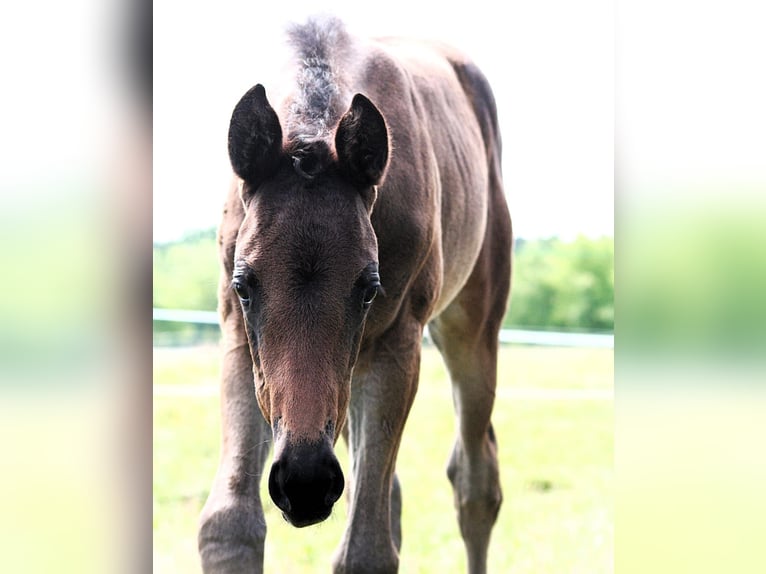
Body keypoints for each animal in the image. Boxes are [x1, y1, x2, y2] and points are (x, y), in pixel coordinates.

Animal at [198, 17, 512, 574]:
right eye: (244, 285)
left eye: (369, 288)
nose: (304, 483)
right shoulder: (237, 335)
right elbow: (229, 524)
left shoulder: (396, 344)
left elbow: (366, 550)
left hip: (470, 327)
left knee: (476, 481)